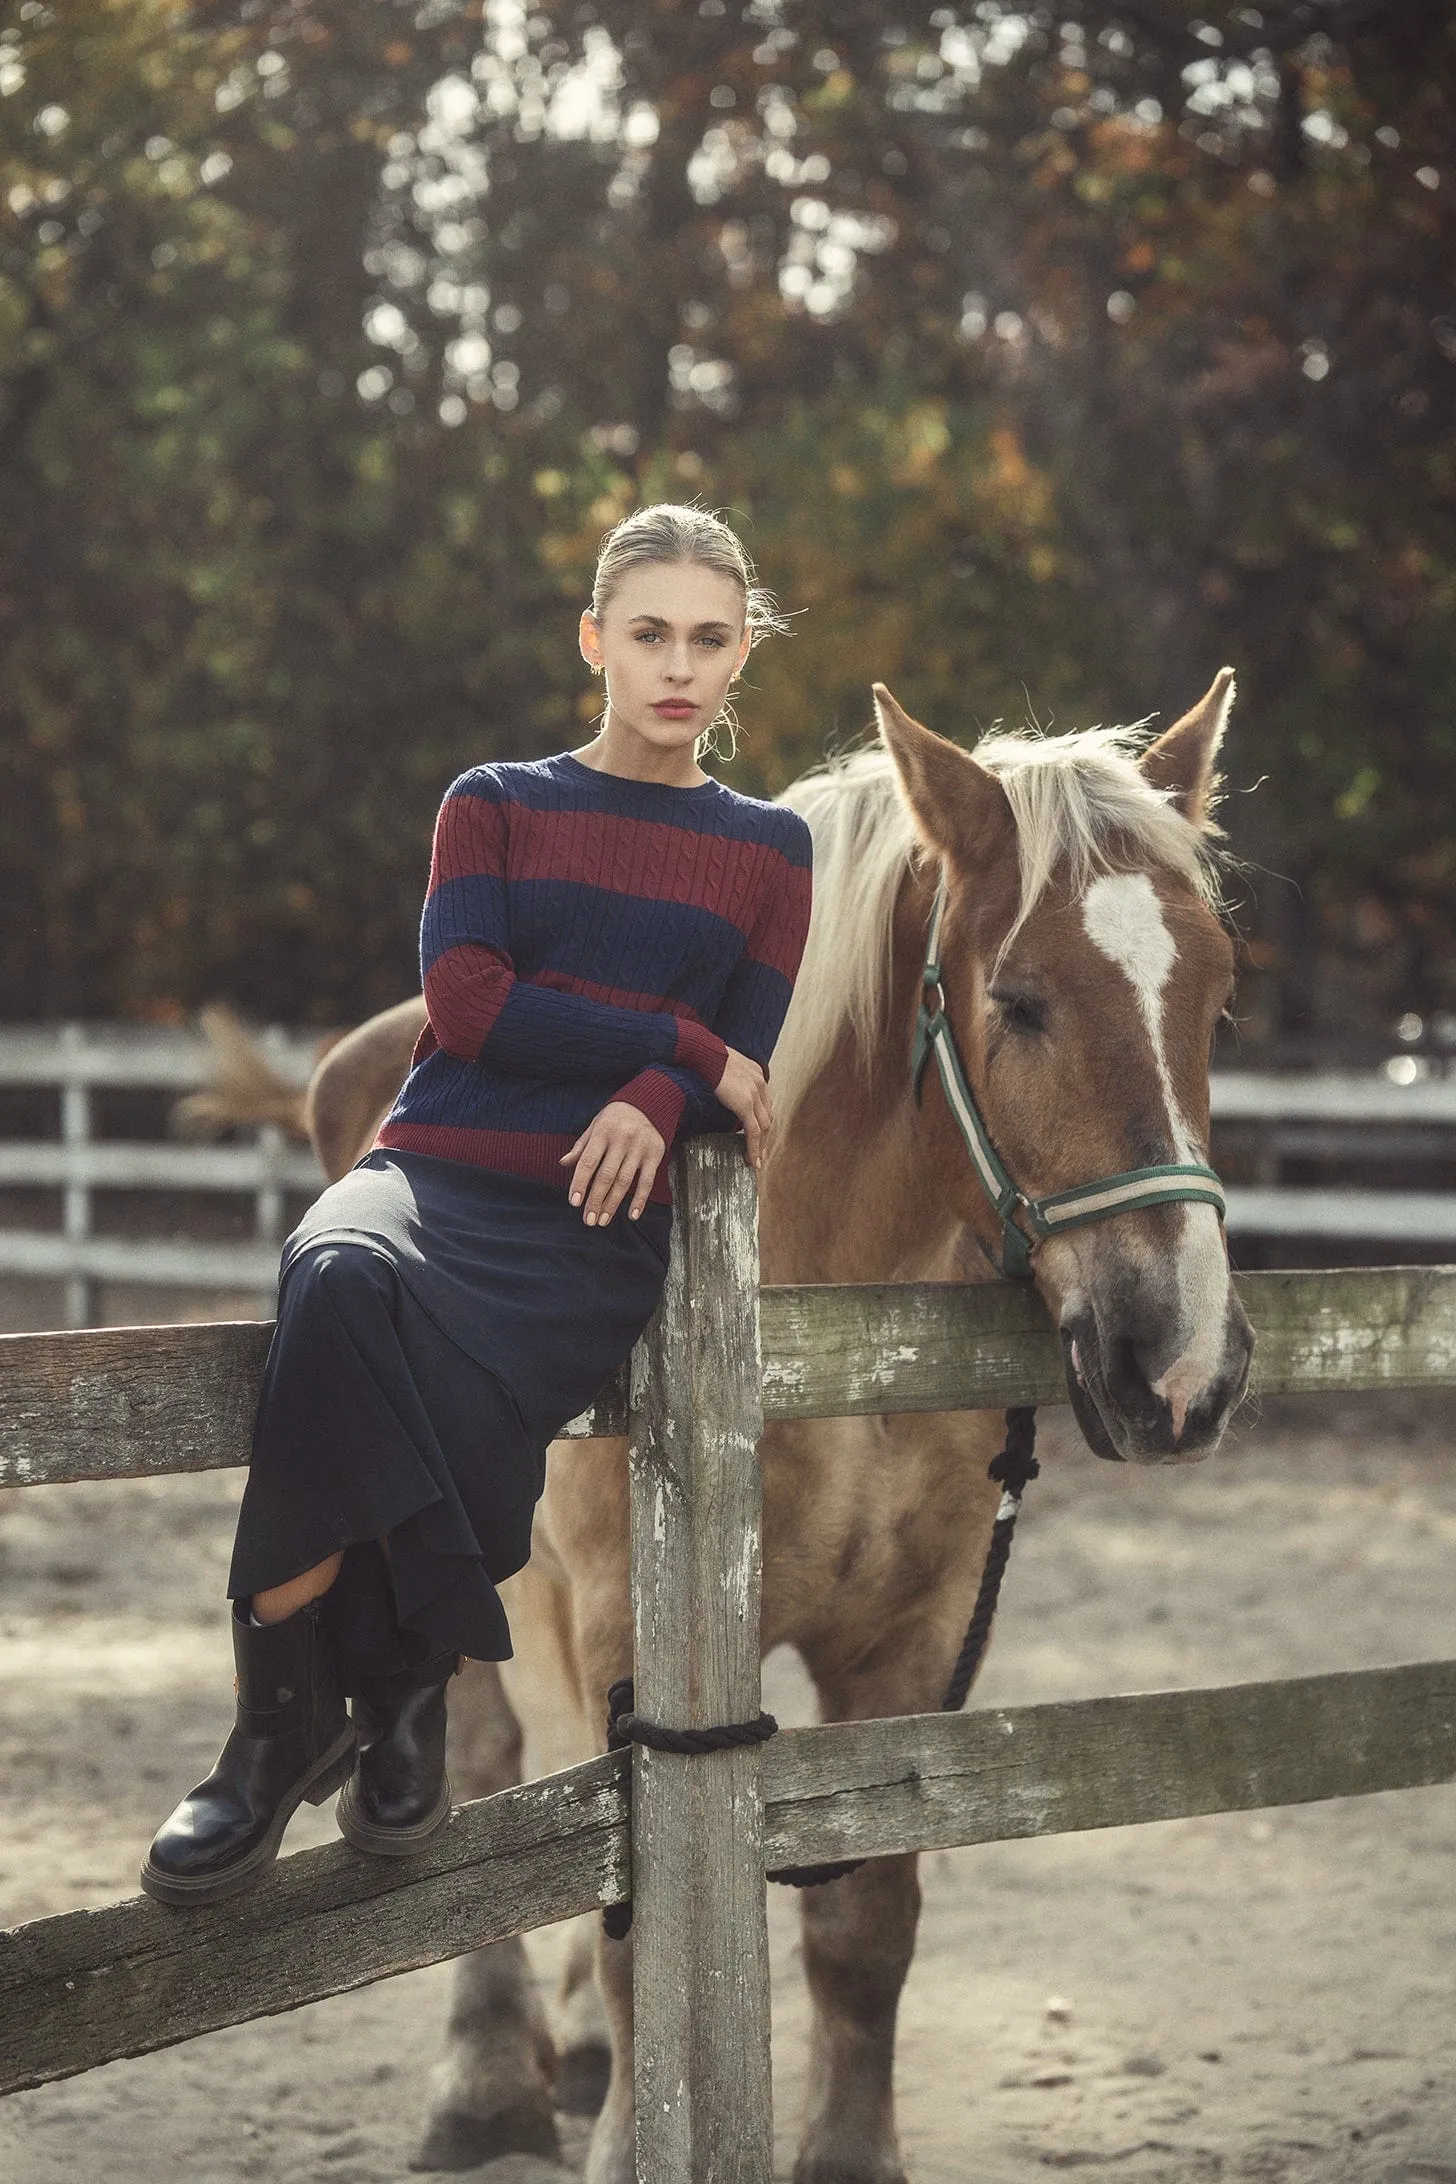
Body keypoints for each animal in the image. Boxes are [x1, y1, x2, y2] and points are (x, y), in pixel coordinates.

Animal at [196, 672, 1257, 2175]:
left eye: (1214, 1003)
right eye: (1019, 1002)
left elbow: (865, 1927)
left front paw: (846, 2151)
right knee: (482, 1762)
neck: (817, 1336)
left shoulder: (918, 1636)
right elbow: (635, 1918)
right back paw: (484, 2084)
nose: (1180, 1366)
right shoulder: (639, 1633)